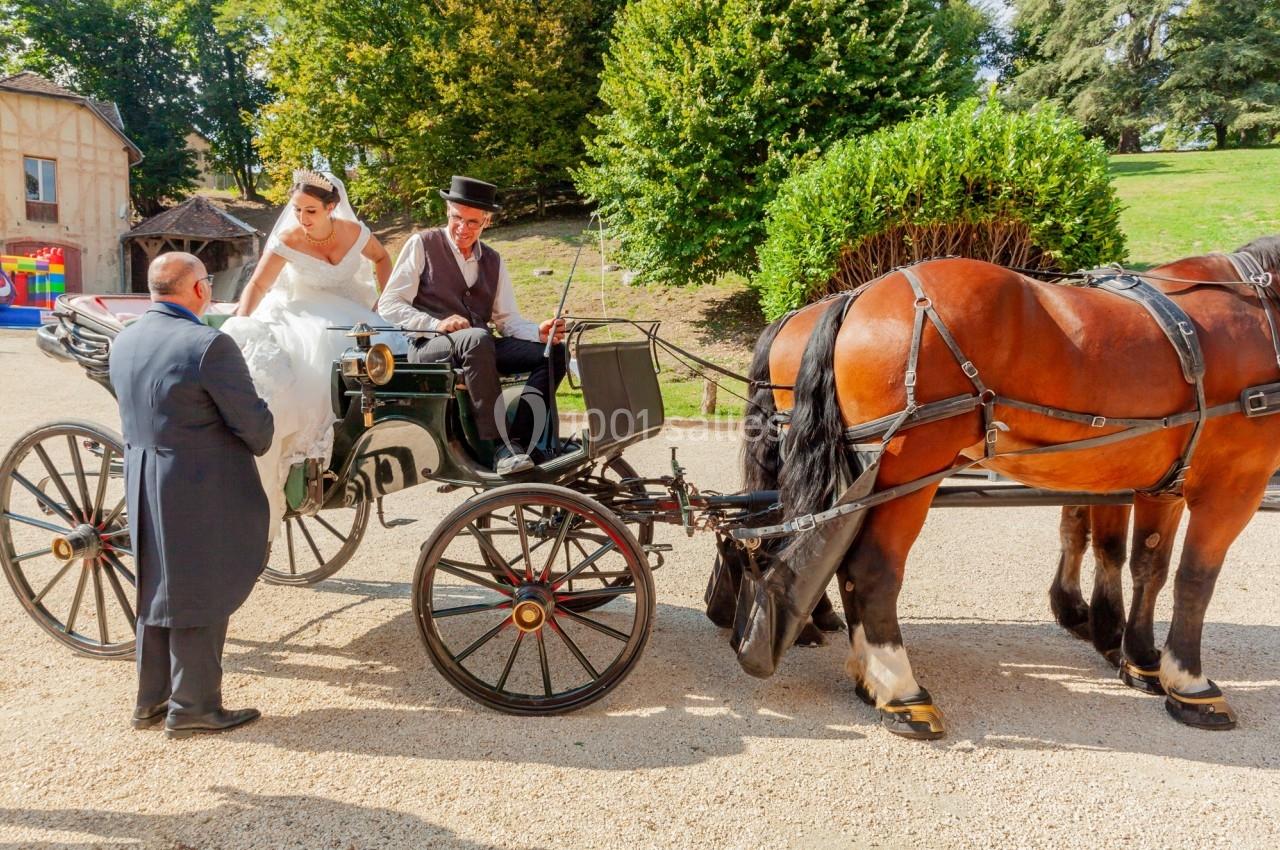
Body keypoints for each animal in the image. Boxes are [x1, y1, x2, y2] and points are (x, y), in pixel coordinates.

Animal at [748, 237, 1280, 739]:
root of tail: (859, 295)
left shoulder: (1159, 484)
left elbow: (1147, 565)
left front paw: (1141, 658)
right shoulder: (1235, 480)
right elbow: (1195, 577)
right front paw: (1190, 684)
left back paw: (865, 674)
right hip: (905, 473)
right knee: (870, 567)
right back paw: (900, 691)